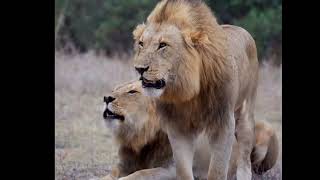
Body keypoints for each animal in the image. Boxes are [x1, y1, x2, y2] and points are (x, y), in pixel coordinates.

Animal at [99, 81, 278, 180]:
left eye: (132, 92)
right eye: (115, 89)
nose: (106, 97)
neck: (140, 136)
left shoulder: (173, 169)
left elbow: (142, 174)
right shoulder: (124, 164)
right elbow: (110, 174)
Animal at [132, 0, 260, 180]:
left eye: (163, 45)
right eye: (141, 43)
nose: (139, 69)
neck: (190, 91)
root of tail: (242, 30)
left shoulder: (223, 122)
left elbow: (217, 170)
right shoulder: (177, 127)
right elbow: (183, 170)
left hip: (246, 112)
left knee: (244, 155)